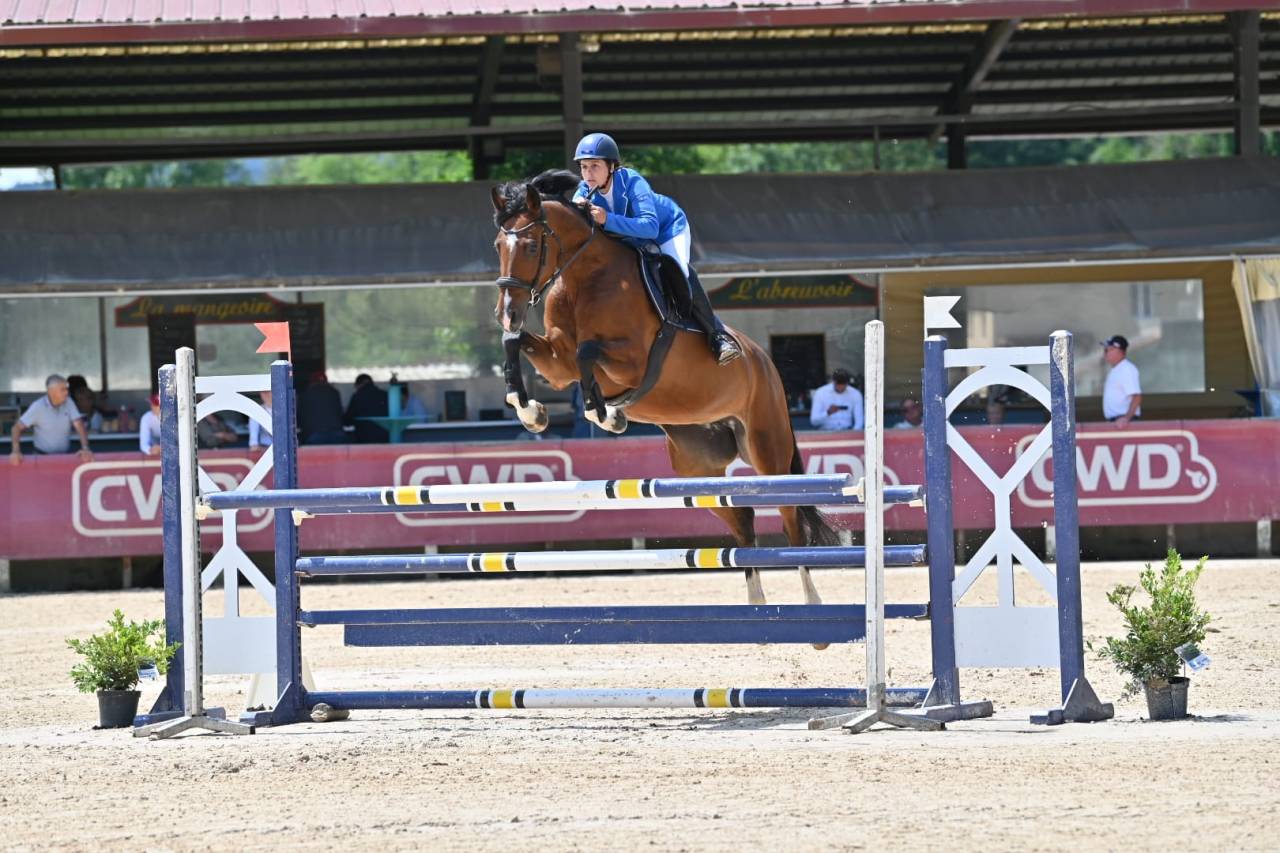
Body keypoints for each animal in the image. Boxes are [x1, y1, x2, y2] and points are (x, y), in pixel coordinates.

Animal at [490, 170, 840, 620]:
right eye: (498, 246)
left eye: (532, 245)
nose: (507, 312)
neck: (585, 277)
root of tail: (763, 359)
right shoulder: (557, 363)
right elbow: (515, 343)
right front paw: (530, 410)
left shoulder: (631, 361)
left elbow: (588, 354)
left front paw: (605, 414)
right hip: (697, 467)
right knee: (743, 520)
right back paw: (756, 605)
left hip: (767, 447)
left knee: (792, 520)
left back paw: (812, 603)